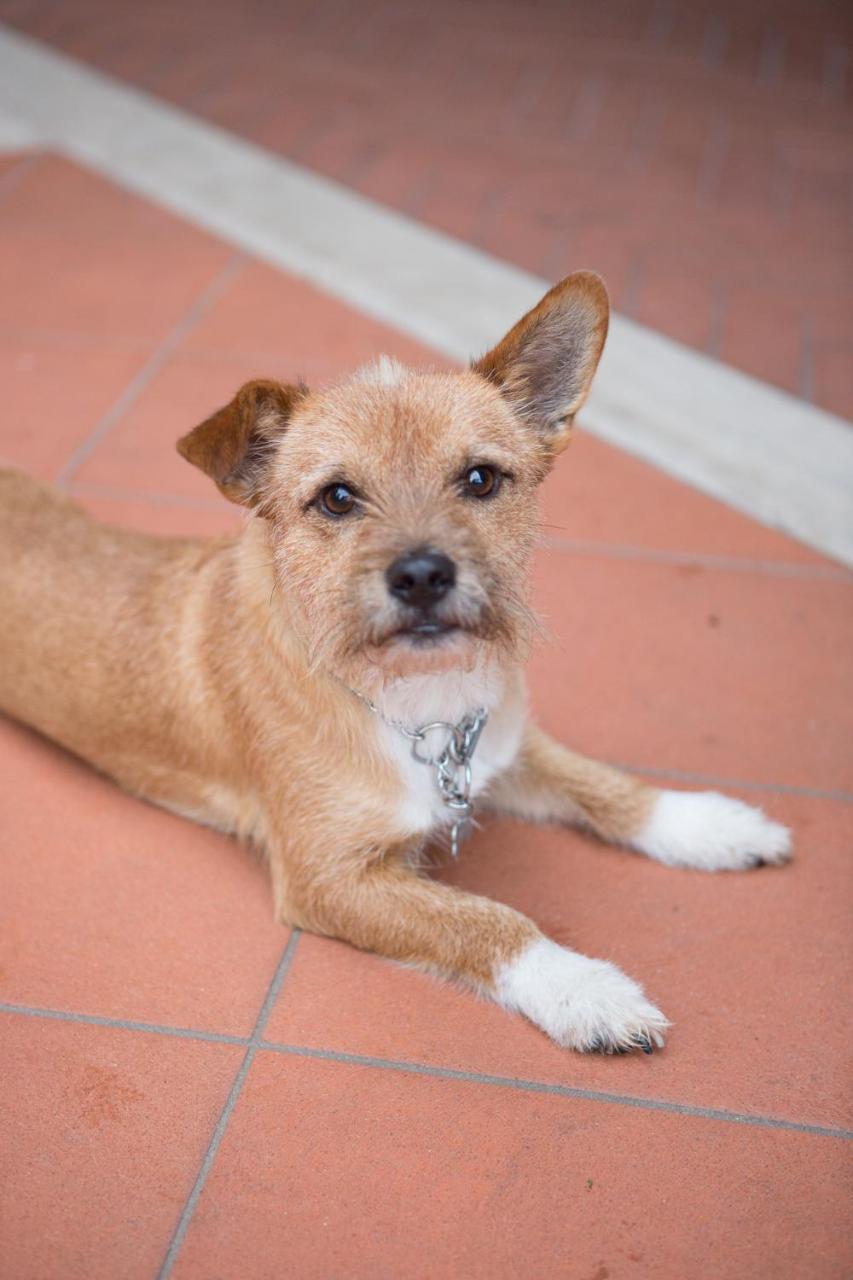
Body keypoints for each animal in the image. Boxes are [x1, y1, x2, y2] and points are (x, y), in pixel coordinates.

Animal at [0, 275, 788, 1054]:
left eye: (480, 479)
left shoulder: (504, 744)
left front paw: (708, 826)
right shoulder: (329, 879)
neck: (416, 705)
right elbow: (488, 919)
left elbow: (605, 785)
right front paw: (582, 990)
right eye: (337, 497)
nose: (421, 575)